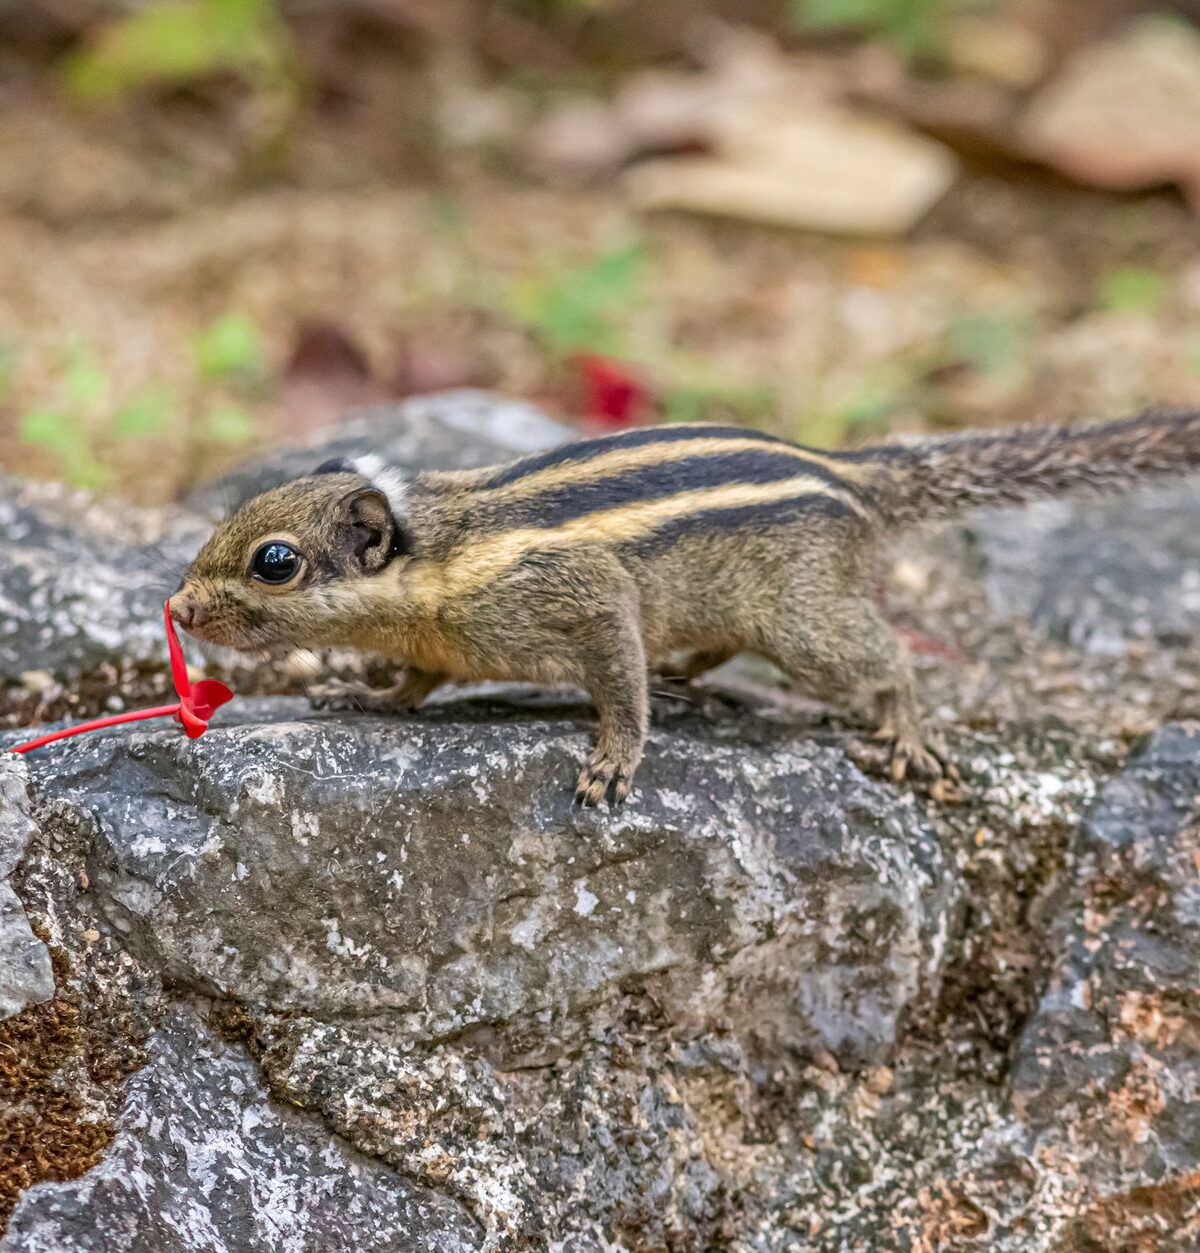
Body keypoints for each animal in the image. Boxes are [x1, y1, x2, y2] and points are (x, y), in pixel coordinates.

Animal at [171, 410, 1200, 806]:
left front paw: (615, 756)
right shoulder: (437, 643)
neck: (436, 556)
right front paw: (364, 693)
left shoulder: (583, 594)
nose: (177, 607)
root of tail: (849, 472)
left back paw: (907, 729)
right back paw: (687, 676)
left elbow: (615, 673)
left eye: (274, 562)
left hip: (801, 624)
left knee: (885, 659)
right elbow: (414, 684)